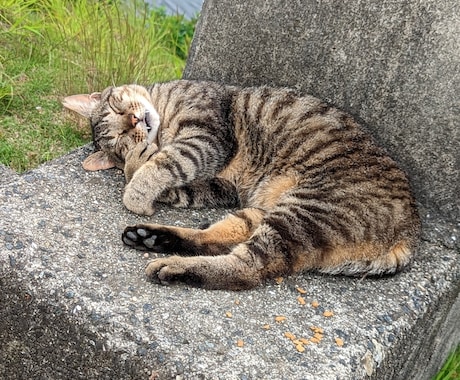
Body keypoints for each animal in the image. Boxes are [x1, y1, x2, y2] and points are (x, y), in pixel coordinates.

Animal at [63, 79, 420, 288]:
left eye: (117, 105)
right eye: (120, 138)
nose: (135, 120)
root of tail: (409, 235)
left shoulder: (206, 137)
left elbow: (165, 163)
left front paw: (136, 187)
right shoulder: (220, 185)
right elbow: (171, 179)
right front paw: (138, 166)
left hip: (301, 213)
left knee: (247, 269)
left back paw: (171, 265)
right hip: (268, 212)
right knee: (221, 244)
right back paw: (152, 238)